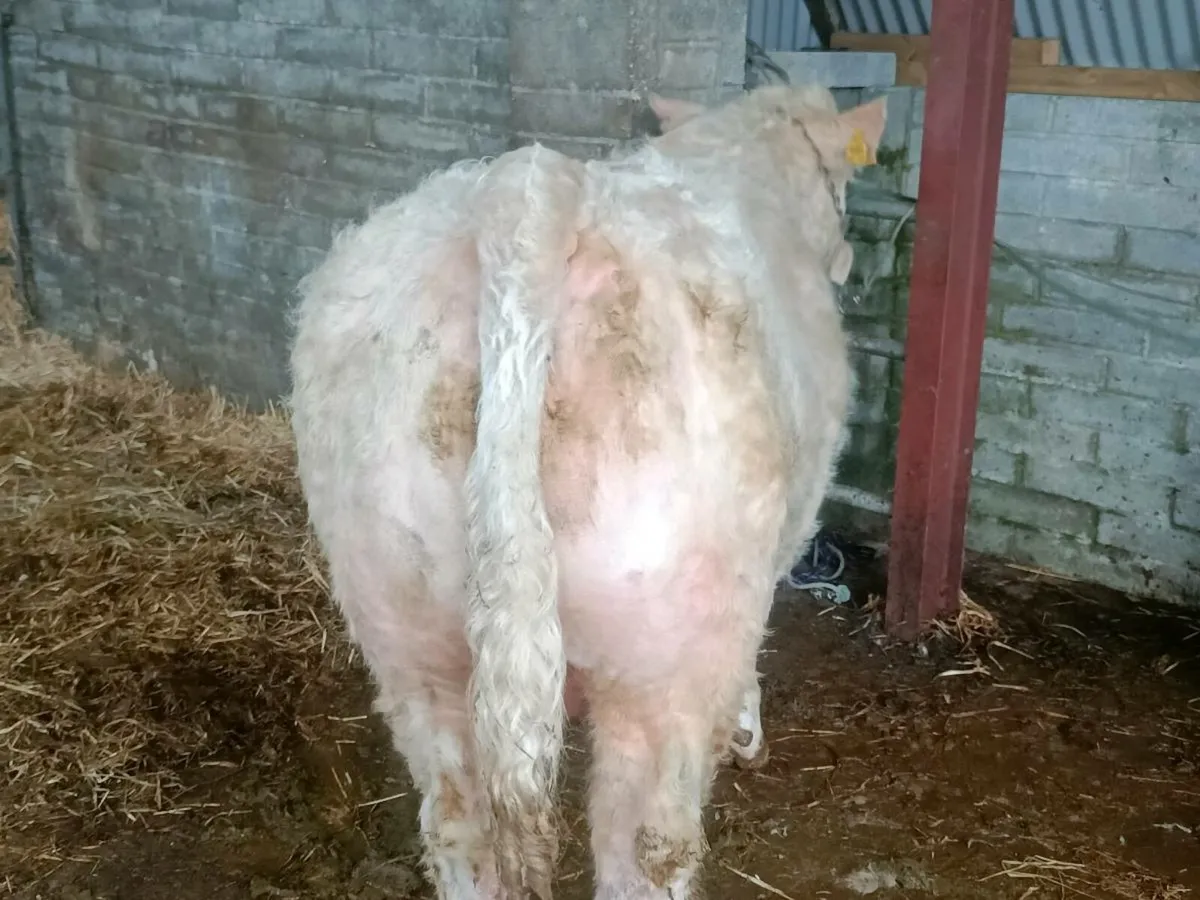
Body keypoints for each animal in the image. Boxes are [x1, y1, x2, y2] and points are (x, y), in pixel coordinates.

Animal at [288, 83, 885, 900]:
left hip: (402, 622)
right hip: (662, 650)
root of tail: (527, 197)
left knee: (456, 827)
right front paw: (747, 729)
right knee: (646, 851)